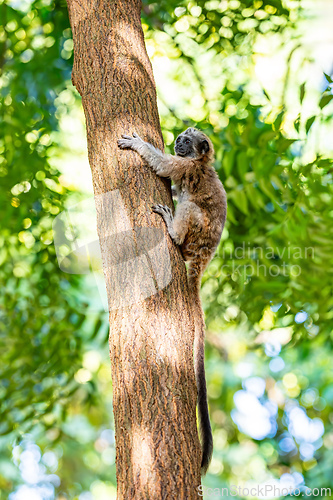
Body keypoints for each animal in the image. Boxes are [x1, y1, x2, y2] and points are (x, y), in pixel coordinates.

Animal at [116, 127, 226, 474]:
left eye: (187, 141)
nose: (177, 140)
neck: (201, 162)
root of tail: (203, 257)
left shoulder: (186, 167)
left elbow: (165, 166)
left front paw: (137, 144)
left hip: (197, 232)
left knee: (190, 211)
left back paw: (173, 231)